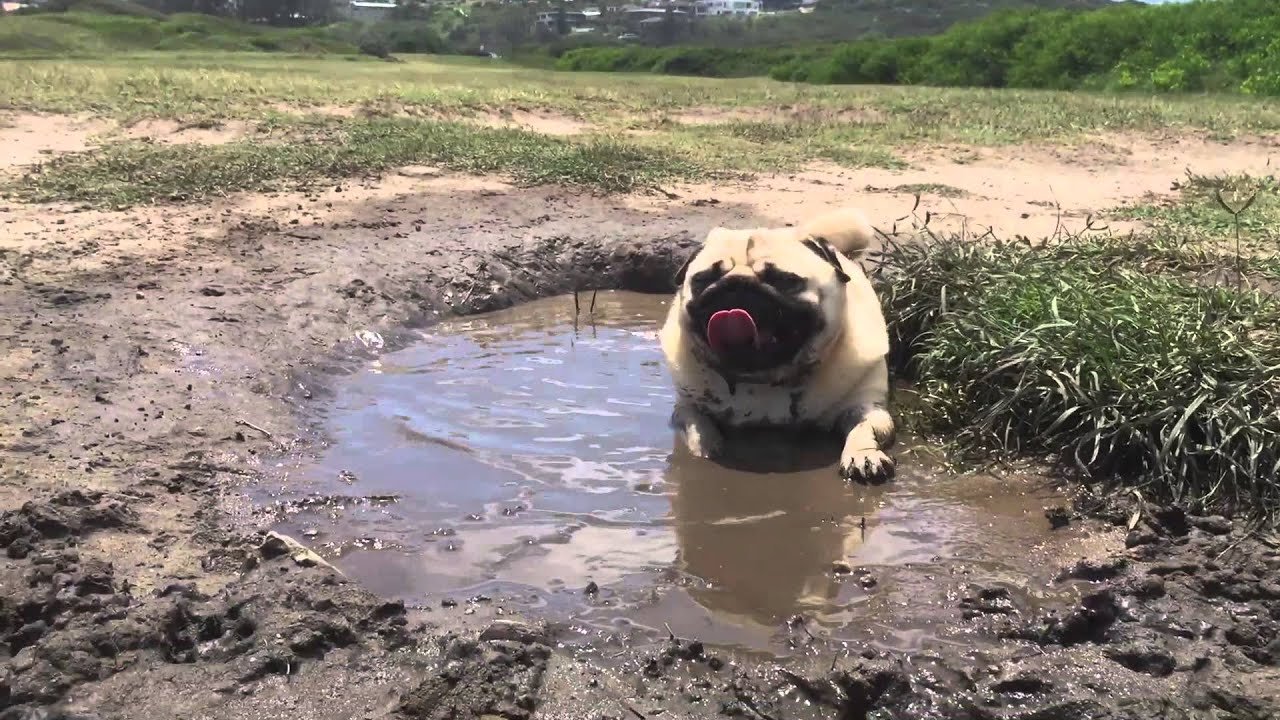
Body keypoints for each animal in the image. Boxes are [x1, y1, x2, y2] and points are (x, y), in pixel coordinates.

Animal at [655, 204, 896, 479]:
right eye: (703, 279)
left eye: (783, 279)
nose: (737, 284)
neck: (763, 381)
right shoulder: (686, 407)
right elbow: (697, 425)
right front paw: (706, 448)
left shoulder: (866, 406)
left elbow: (863, 428)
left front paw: (863, 455)